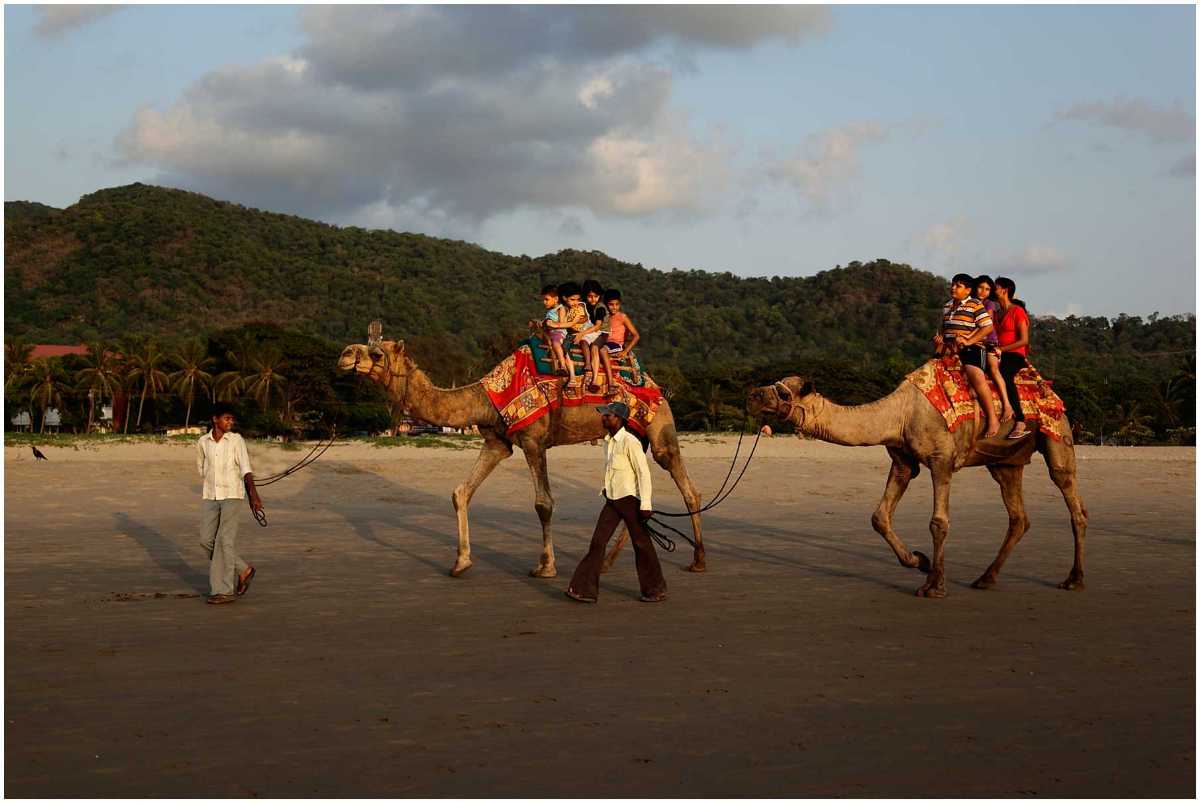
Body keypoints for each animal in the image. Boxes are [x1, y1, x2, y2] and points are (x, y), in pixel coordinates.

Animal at [336, 336, 700, 576]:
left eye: (376, 353)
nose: (344, 354)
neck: (486, 398)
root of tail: (655, 385)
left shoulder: (533, 439)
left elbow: (544, 503)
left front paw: (546, 566)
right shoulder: (498, 442)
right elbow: (461, 492)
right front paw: (460, 561)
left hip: (659, 425)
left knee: (686, 486)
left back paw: (698, 560)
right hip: (636, 437)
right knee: (638, 496)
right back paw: (609, 562)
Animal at [739, 372, 1089, 595]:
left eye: (784, 392)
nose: (753, 395)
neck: (900, 414)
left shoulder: (941, 460)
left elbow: (939, 522)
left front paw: (934, 585)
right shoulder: (903, 461)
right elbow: (879, 517)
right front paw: (919, 561)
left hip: (1057, 434)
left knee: (1072, 499)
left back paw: (1074, 579)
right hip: (1006, 460)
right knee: (1019, 516)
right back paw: (985, 579)